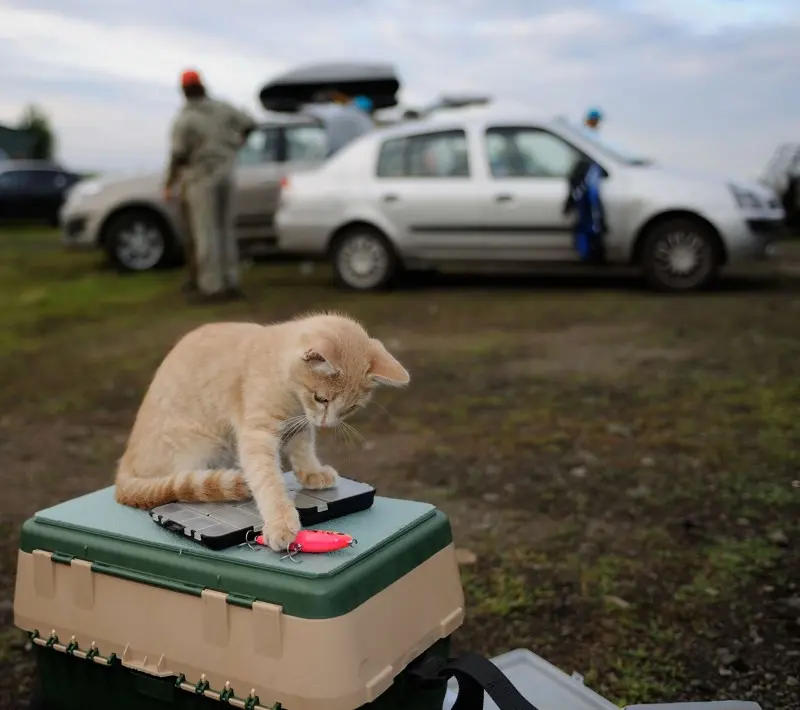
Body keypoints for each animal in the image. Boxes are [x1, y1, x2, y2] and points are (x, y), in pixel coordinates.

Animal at [115, 314, 410, 552]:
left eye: (350, 409)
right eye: (321, 398)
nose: (327, 424)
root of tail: (125, 467)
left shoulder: (300, 425)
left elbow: (303, 449)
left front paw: (312, 473)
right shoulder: (257, 434)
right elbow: (268, 479)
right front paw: (281, 522)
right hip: (199, 448)